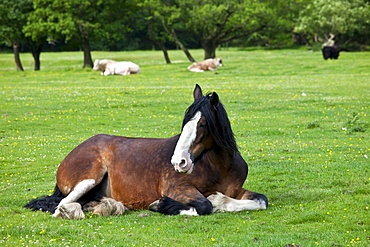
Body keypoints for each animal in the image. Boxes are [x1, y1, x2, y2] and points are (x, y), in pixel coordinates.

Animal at [24, 84, 268, 219]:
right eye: (185, 122)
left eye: (203, 124)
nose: (179, 162)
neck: (219, 167)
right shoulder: (177, 188)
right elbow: (204, 206)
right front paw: (162, 205)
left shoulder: (237, 190)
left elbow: (261, 200)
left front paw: (221, 200)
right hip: (88, 179)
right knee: (61, 206)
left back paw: (107, 206)